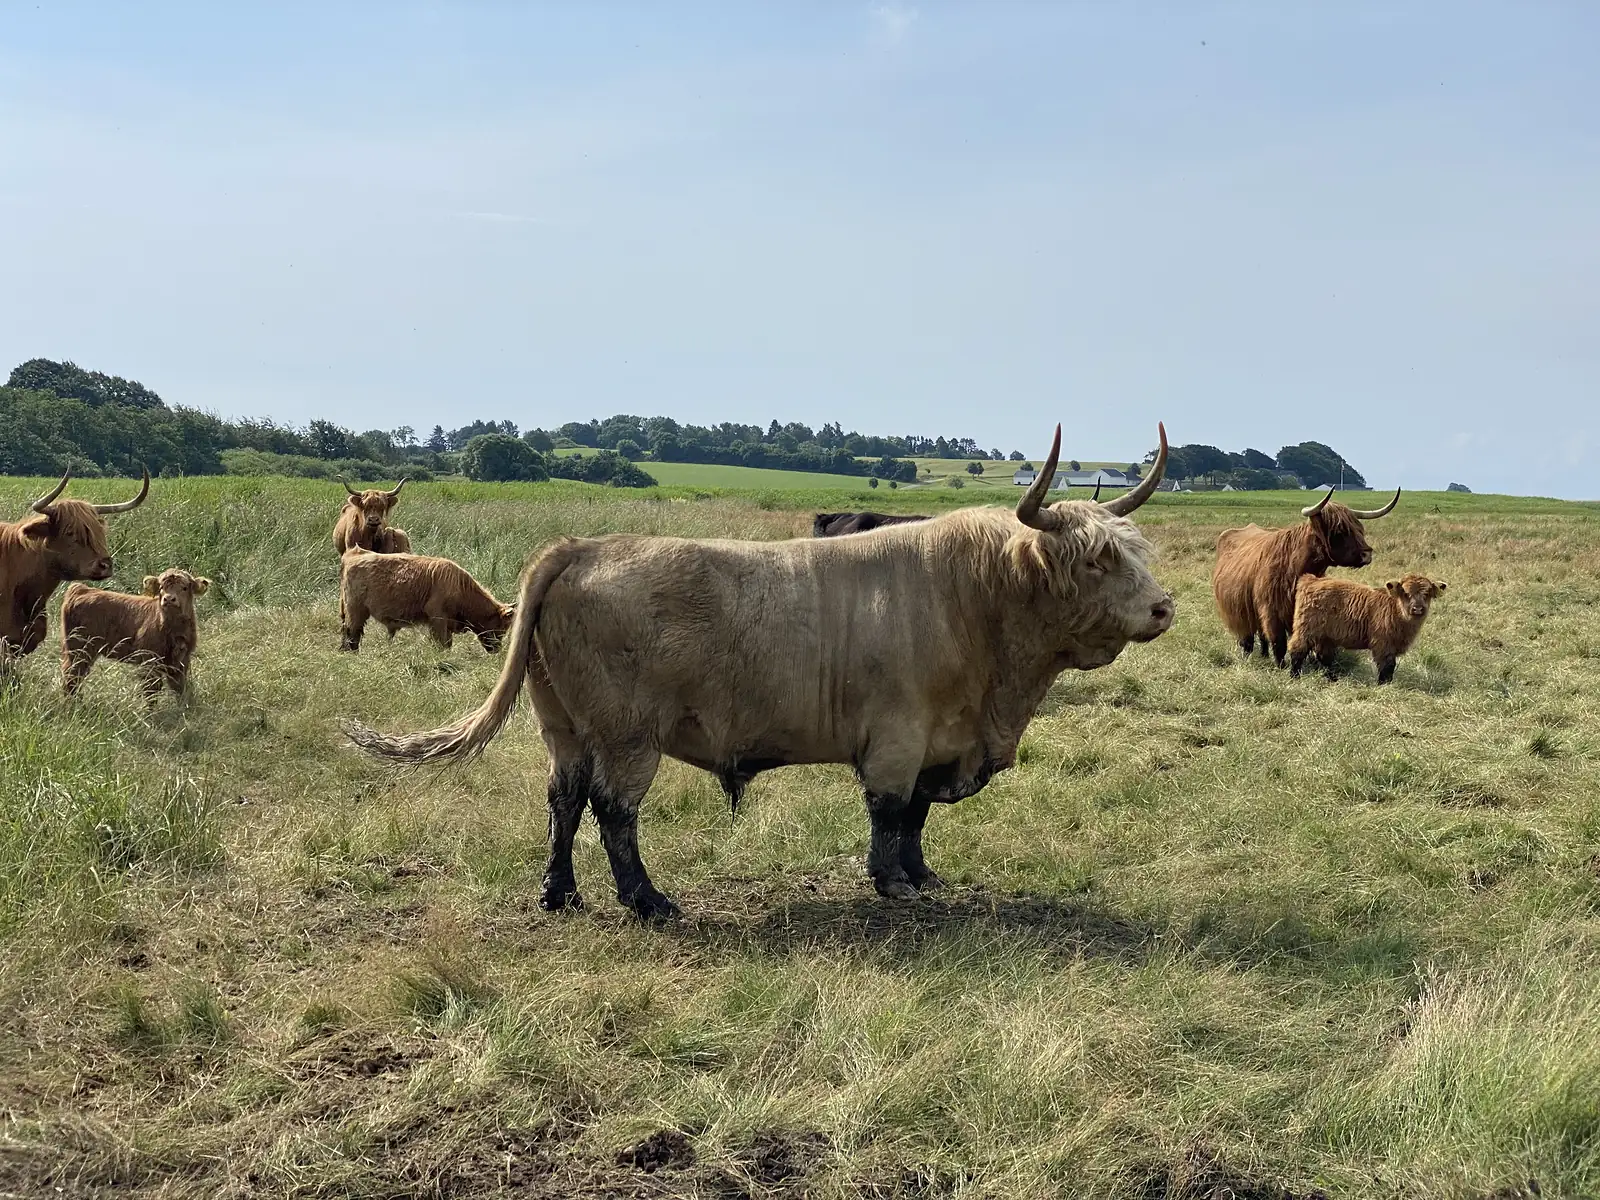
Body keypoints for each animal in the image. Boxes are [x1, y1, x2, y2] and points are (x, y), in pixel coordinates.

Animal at [60, 569, 210, 703]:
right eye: (161, 587)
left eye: (184, 588)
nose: (168, 599)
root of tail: (82, 589)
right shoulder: (149, 659)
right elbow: (152, 690)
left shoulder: (182, 660)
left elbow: (180, 687)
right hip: (79, 648)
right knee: (72, 676)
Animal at [339, 547, 515, 653]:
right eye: (501, 628)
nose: (496, 649)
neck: (461, 588)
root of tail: (354, 552)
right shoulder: (438, 618)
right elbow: (443, 643)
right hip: (356, 610)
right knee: (352, 632)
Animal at [1211, 485, 1400, 667]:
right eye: (1339, 531)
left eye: (1359, 529)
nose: (1367, 554)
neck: (1295, 567)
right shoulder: (1271, 610)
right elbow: (1279, 643)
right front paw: (1281, 666)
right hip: (1239, 609)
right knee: (1248, 637)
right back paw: (1248, 656)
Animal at [1288, 573, 1446, 684]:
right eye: (1406, 593)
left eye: (1427, 594)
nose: (1417, 609)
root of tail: (1312, 580)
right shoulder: (1382, 644)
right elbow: (1387, 666)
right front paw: (1383, 685)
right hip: (1306, 630)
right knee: (1297, 650)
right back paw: (1294, 677)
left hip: (1326, 636)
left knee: (1324, 657)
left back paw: (1332, 679)